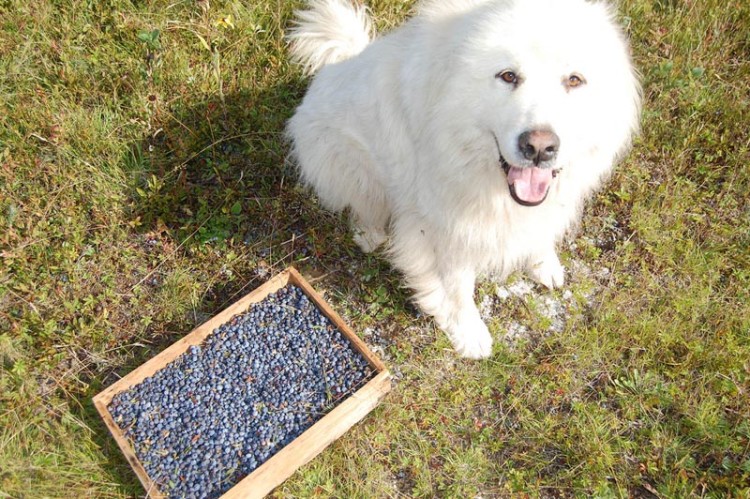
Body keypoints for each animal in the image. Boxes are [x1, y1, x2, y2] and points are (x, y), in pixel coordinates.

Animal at [286, 0, 640, 360]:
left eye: (574, 80)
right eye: (508, 76)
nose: (539, 148)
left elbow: (540, 232)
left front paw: (543, 265)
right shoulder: (448, 231)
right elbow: (457, 289)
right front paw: (468, 334)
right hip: (356, 170)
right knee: (363, 207)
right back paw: (369, 234)